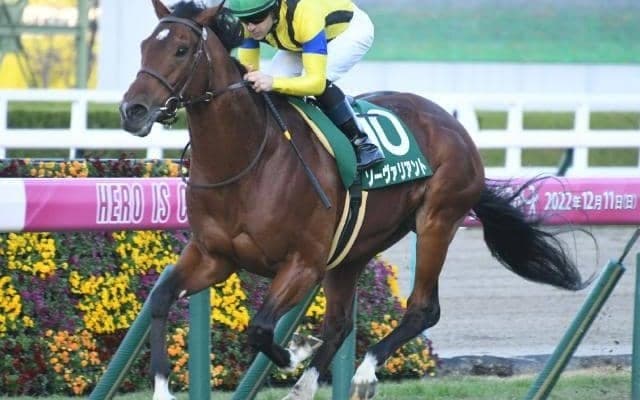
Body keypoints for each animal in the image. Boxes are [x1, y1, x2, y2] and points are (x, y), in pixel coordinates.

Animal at [119, 1, 590, 399]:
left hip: (437, 220)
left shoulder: (303, 263)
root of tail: (452, 124)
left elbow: (261, 328)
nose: (132, 111)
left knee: (422, 310)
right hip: (353, 250)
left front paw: (296, 351)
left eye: (181, 50)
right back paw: (306, 387)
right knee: (342, 323)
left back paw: (363, 373)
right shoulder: (214, 256)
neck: (249, 160)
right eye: (143, 46)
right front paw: (162, 390)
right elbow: (161, 298)